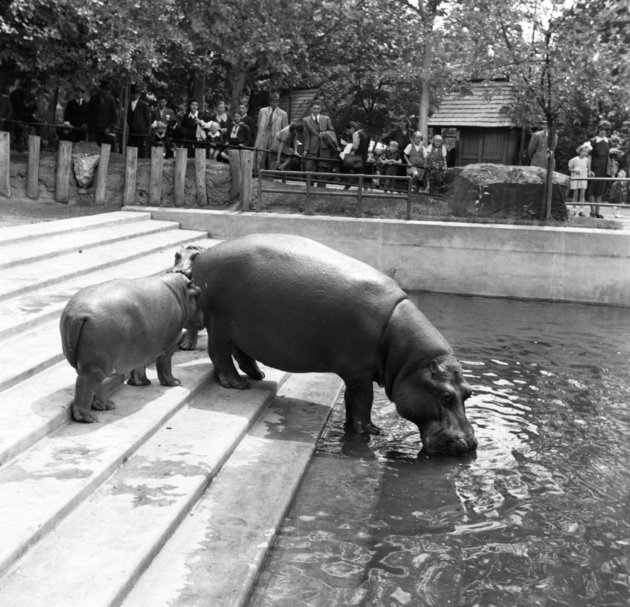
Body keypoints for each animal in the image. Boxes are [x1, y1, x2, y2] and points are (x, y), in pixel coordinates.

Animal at [60, 274, 201, 422]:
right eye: (199, 292)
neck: (181, 293)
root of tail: (75, 315)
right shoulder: (169, 347)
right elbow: (164, 366)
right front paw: (175, 382)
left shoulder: (139, 351)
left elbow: (139, 367)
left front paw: (141, 383)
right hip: (97, 366)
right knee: (84, 384)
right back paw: (88, 418)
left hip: (94, 365)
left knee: (97, 384)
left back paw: (107, 406)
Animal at [175, 235, 476, 454]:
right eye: (446, 395)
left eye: (469, 393)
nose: (470, 443)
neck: (407, 359)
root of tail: (204, 256)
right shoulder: (360, 371)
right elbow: (363, 402)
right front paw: (372, 431)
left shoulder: (356, 373)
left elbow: (352, 401)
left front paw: (351, 427)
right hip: (219, 322)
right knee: (219, 354)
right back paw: (237, 384)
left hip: (239, 326)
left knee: (240, 352)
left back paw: (257, 374)